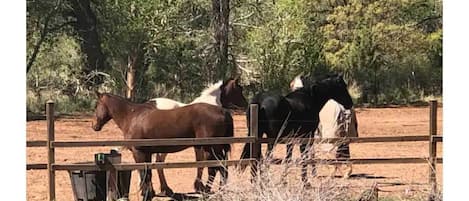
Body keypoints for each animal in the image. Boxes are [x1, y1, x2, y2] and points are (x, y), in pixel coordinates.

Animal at [91, 92, 232, 200]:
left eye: (97, 105)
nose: (94, 126)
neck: (132, 116)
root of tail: (222, 111)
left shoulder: (138, 152)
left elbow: (143, 173)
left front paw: (146, 195)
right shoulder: (147, 153)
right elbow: (148, 174)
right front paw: (149, 194)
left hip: (211, 148)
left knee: (215, 169)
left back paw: (208, 192)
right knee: (222, 169)